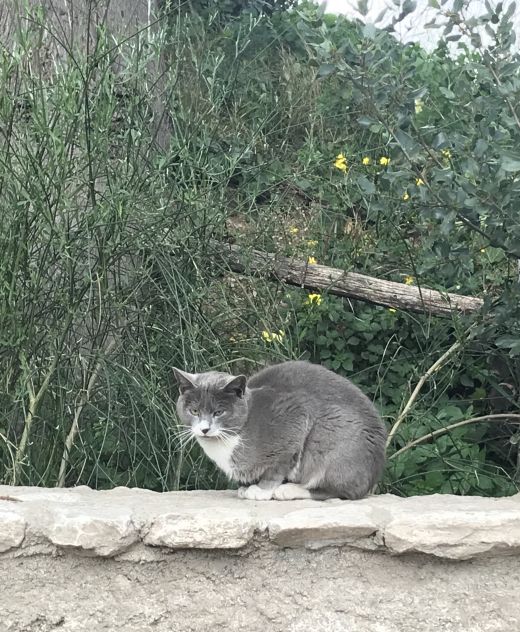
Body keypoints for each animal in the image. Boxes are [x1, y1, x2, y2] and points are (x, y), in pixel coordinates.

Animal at [174, 360, 387, 501]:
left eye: (219, 412)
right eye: (194, 411)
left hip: (333, 436)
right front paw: (245, 488)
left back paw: (289, 490)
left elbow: (276, 468)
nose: (204, 429)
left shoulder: (296, 416)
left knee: (341, 491)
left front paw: (261, 490)